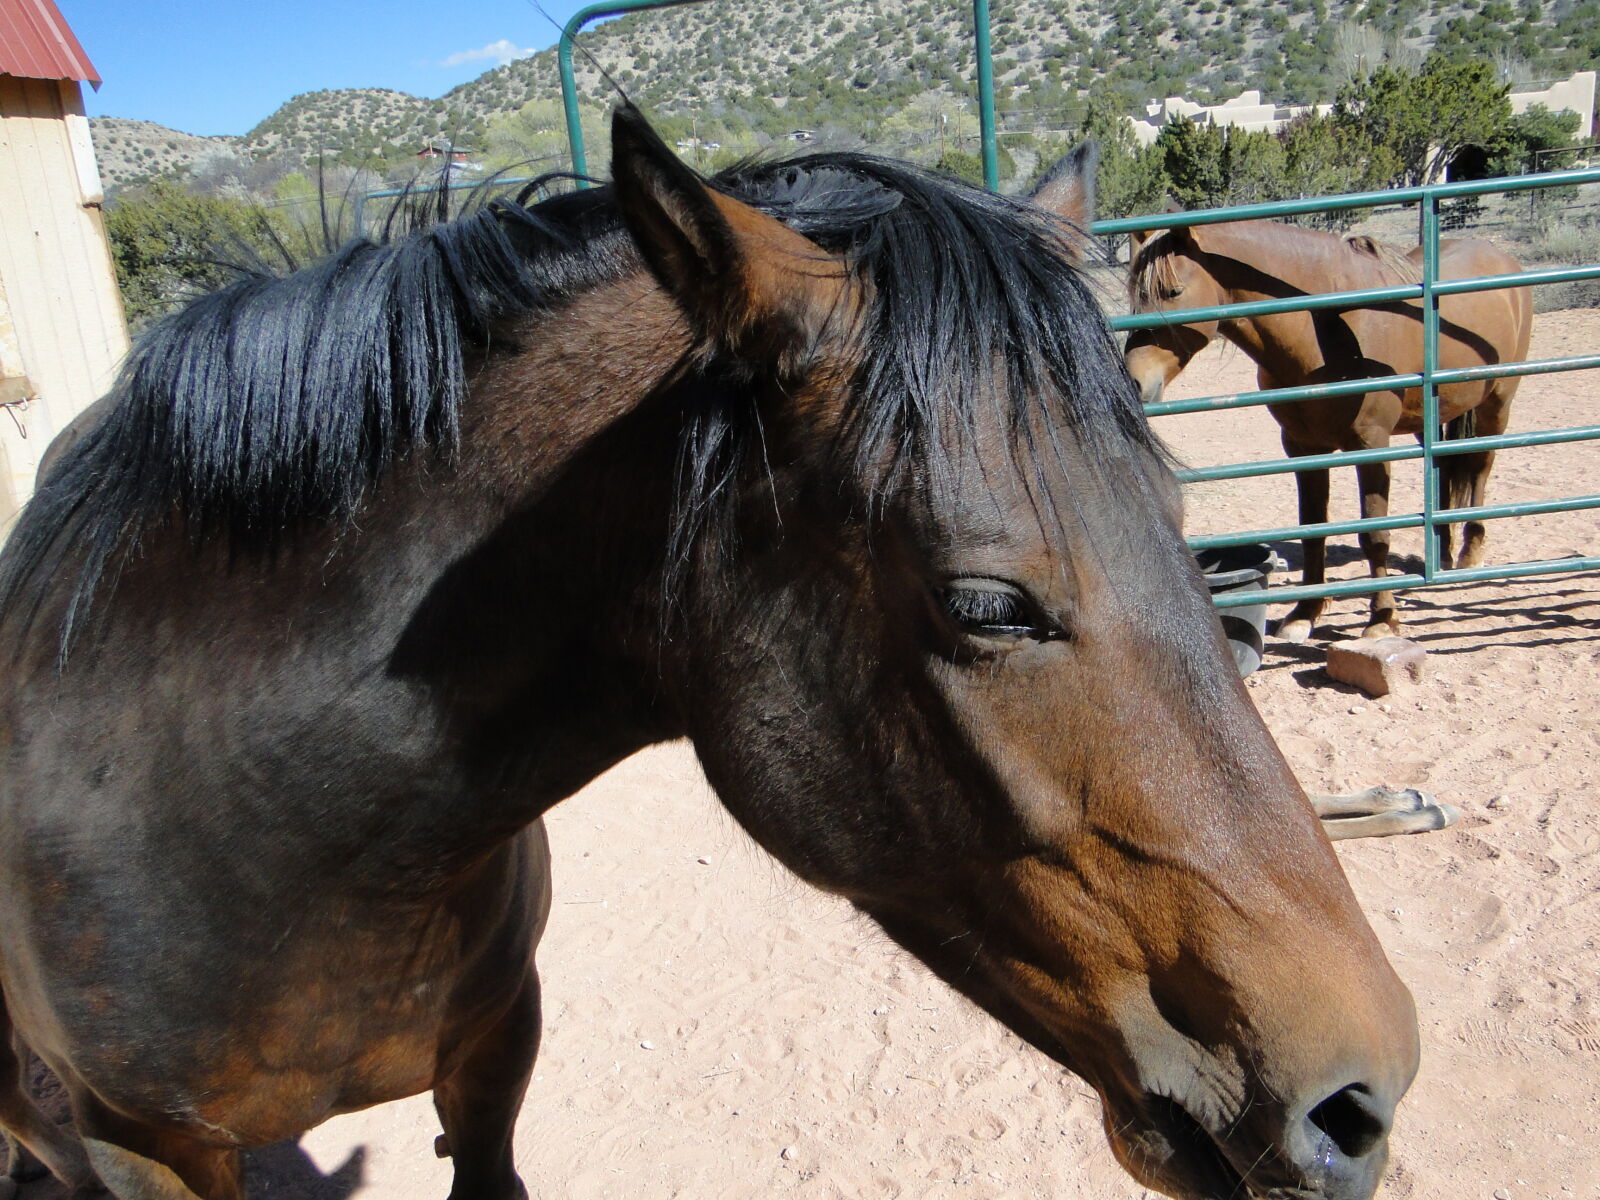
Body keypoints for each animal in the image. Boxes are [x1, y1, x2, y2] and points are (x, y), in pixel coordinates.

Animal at [1120, 219, 1529, 643]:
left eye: (1173, 291)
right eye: (1134, 298)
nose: (1133, 380)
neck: (1327, 331)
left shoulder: (1372, 443)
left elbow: (1375, 534)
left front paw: (1382, 620)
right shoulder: (1303, 446)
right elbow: (1313, 529)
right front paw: (1305, 613)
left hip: (1497, 404)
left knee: (1480, 466)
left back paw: (1469, 554)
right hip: (1430, 418)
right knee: (1444, 471)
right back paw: (1442, 552)